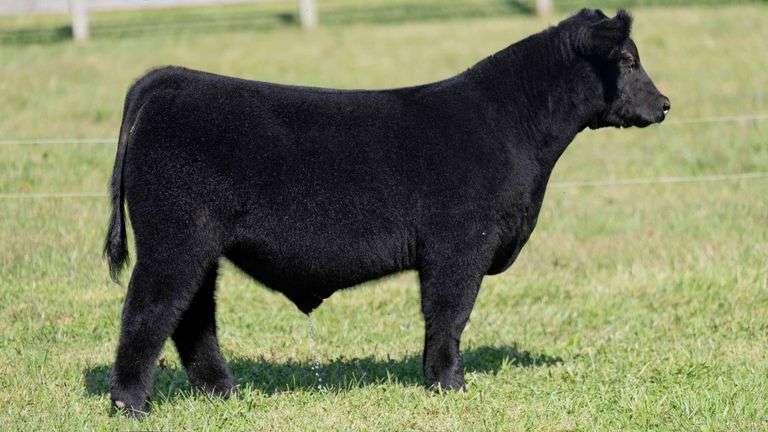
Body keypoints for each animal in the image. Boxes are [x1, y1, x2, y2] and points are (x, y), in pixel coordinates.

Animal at [104, 9, 669, 416]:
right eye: (627, 60)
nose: (664, 103)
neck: (511, 126)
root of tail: (173, 79)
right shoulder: (459, 245)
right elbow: (448, 315)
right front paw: (450, 385)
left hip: (200, 250)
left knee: (193, 319)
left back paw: (223, 393)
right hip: (174, 242)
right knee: (148, 312)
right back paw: (130, 405)